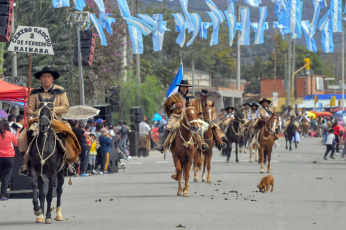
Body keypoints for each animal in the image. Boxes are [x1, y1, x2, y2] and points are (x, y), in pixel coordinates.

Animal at [27, 93, 65, 223]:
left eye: (51, 109)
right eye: (39, 109)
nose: (43, 125)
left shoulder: (53, 173)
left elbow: (49, 194)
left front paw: (48, 216)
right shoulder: (35, 170)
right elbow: (36, 189)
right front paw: (38, 211)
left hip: (61, 172)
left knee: (59, 190)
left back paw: (58, 214)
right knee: (42, 193)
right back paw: (41, 216)